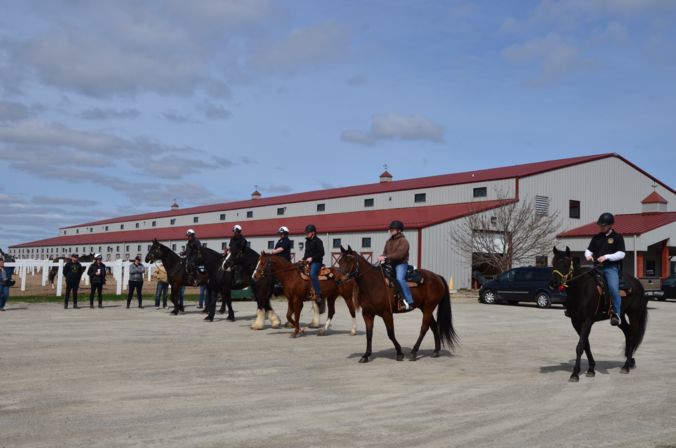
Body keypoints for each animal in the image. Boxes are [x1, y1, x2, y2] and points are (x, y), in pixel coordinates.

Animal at [548, 245, 648, 382]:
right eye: (553, 262)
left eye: (565, 263)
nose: (554, 283)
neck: (581, 288)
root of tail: (638, 284)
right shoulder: (575, 321)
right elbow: (586, 345)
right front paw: (591, 368)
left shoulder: (588, 320)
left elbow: (580, 346)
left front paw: (575, 373)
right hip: (619, 317)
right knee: (627, 333)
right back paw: (630, 360)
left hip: (634, 314)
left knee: (632, 336)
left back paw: (626, 366)